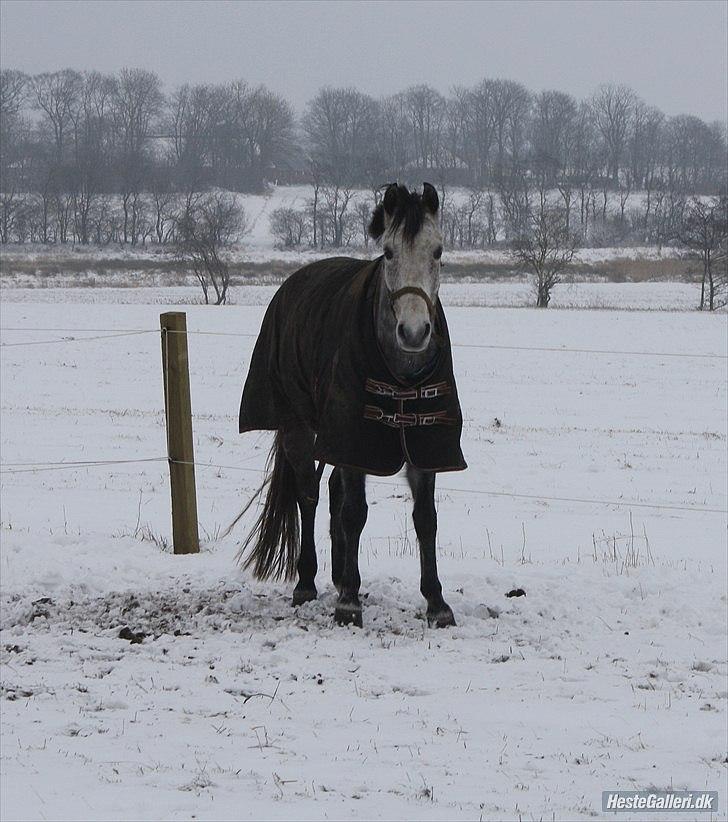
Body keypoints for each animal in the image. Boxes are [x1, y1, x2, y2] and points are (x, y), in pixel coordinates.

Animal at [239, 183, 466, 628]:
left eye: (438, 251)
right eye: (390, 252)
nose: (414, 332)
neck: (401, 374)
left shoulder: (423, 444)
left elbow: (425, 519)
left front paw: (436, 602)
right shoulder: (352, 439)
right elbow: (355, 512)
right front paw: (348, 603)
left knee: (330, 492)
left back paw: (341, 574)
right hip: (297, 426)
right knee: (309, 496)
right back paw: (307, 581)